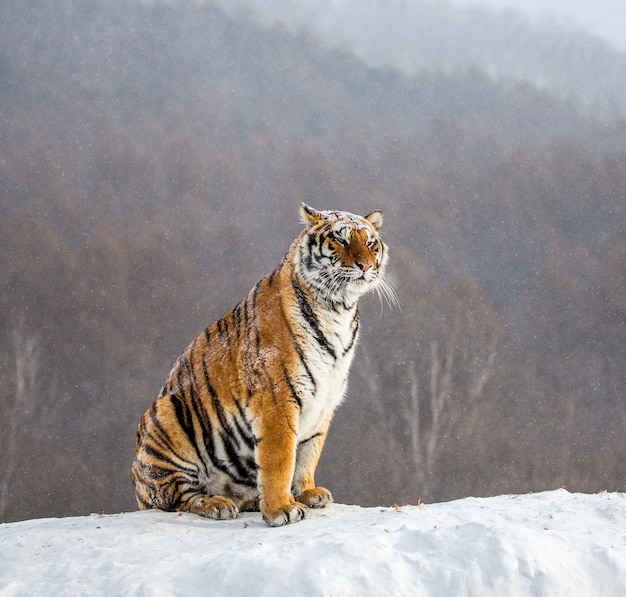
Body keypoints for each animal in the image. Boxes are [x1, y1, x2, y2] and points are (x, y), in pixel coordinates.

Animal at [132, 204, 392, 528]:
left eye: (370, 243)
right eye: (341, 240)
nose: (365, 266)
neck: (338, 309)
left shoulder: (324, 401)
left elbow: (308, 453)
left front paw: (307, 492)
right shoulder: (277, 398)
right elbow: (280, 458)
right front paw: (282, 509)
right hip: (165, 415)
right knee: (177, 497)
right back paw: (218, 504)